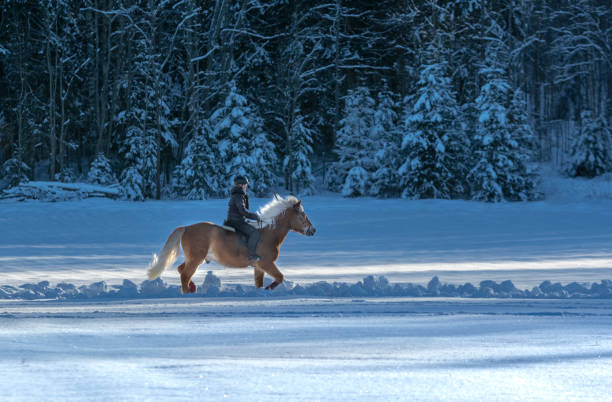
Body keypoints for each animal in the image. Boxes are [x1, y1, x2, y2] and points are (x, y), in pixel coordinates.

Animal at [145, 194, 314, 292]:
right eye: (302, 215)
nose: (313, 230)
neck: (268, 234)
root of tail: (186, 228)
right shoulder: (266, 263)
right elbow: (280, 277)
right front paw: (268, 288)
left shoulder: (259, 267)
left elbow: (260, 283)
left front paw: (262, 290)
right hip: (195, 259)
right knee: (185, 275)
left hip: (194, 259)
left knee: (181, 270)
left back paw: (192, 288)